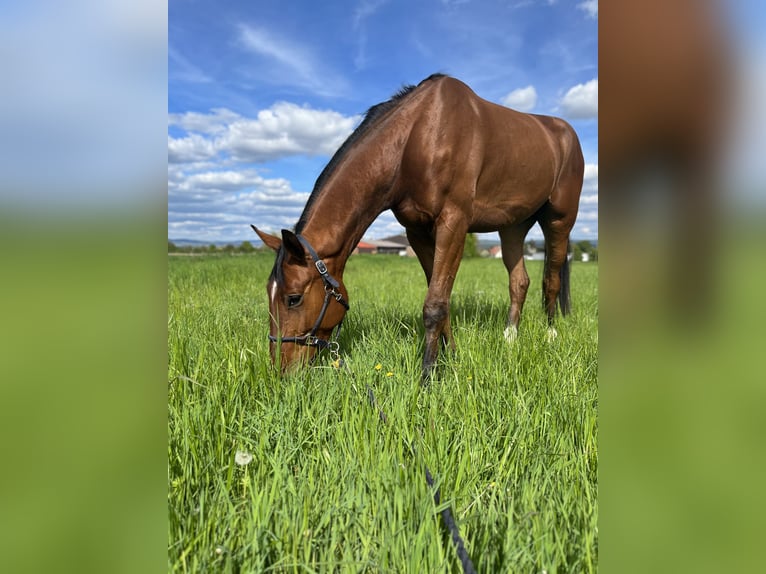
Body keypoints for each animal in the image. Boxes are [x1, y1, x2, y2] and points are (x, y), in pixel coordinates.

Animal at [252, 74, 584, 380]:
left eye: (293, 298)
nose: (281, 372)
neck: (418, 136)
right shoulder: (418, 231)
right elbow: (440, 297)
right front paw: (450, 358)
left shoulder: (453, 222)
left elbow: (434, 304)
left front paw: (428, 377)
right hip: (512, 227)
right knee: (519, 282)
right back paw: (510, 338)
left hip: (559, 220)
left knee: (551, 280)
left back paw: (550, 335)